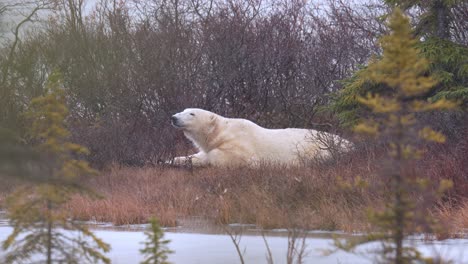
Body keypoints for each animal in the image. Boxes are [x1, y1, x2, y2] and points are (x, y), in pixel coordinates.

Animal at [170, 108, 352, 167]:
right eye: (183, 110)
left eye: (192, 113)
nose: (173, 117)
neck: (222, 131)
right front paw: (174, 159)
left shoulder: (241, 145)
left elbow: (223, 156)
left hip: (321, 149)